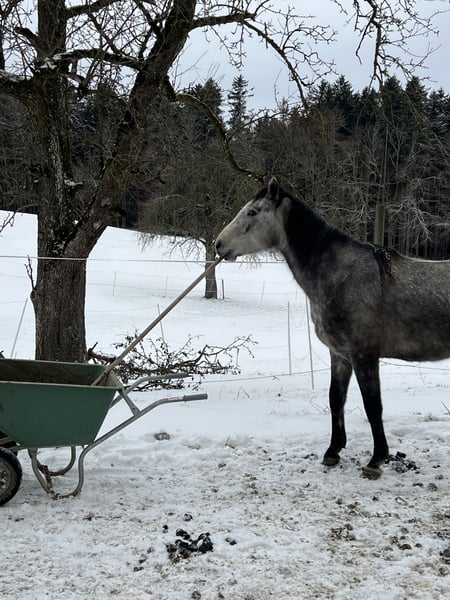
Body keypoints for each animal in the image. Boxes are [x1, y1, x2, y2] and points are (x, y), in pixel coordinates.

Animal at [215, 177, 450, 478]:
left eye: (253, 212)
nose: (219, 244)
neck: (341, 275)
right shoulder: (339, 355)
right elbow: (335, 399)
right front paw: (333, 451)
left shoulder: (364, 356)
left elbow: (372, 405)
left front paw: (376, 460)